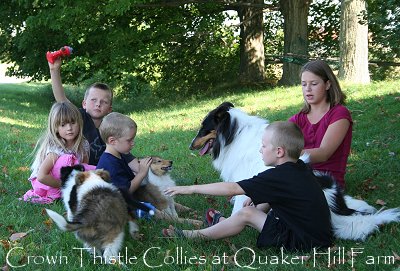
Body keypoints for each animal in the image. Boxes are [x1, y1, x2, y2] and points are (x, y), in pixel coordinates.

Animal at [191, 102, 400, 242]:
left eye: (204, 127)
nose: (189, 146)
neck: (233, 134)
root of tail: (335, 211)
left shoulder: (246, 182)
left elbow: (238, 209)